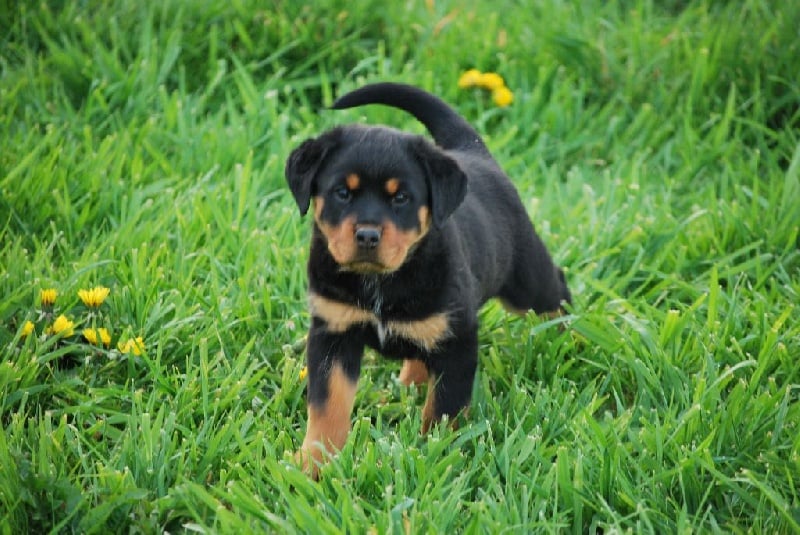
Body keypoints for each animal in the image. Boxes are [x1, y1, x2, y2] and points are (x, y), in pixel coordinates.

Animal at [285, 82, 571, 476]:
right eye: (342, 193)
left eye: (401, 198)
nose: (367, 235)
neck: (381, 281)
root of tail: (474, 153)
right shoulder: (333, 332)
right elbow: (328, 407)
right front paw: (313, 462)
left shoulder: (458, 340)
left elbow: (444, 409)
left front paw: (436, 456)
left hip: (526, 282)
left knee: (555, 291)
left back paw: (570, 338)